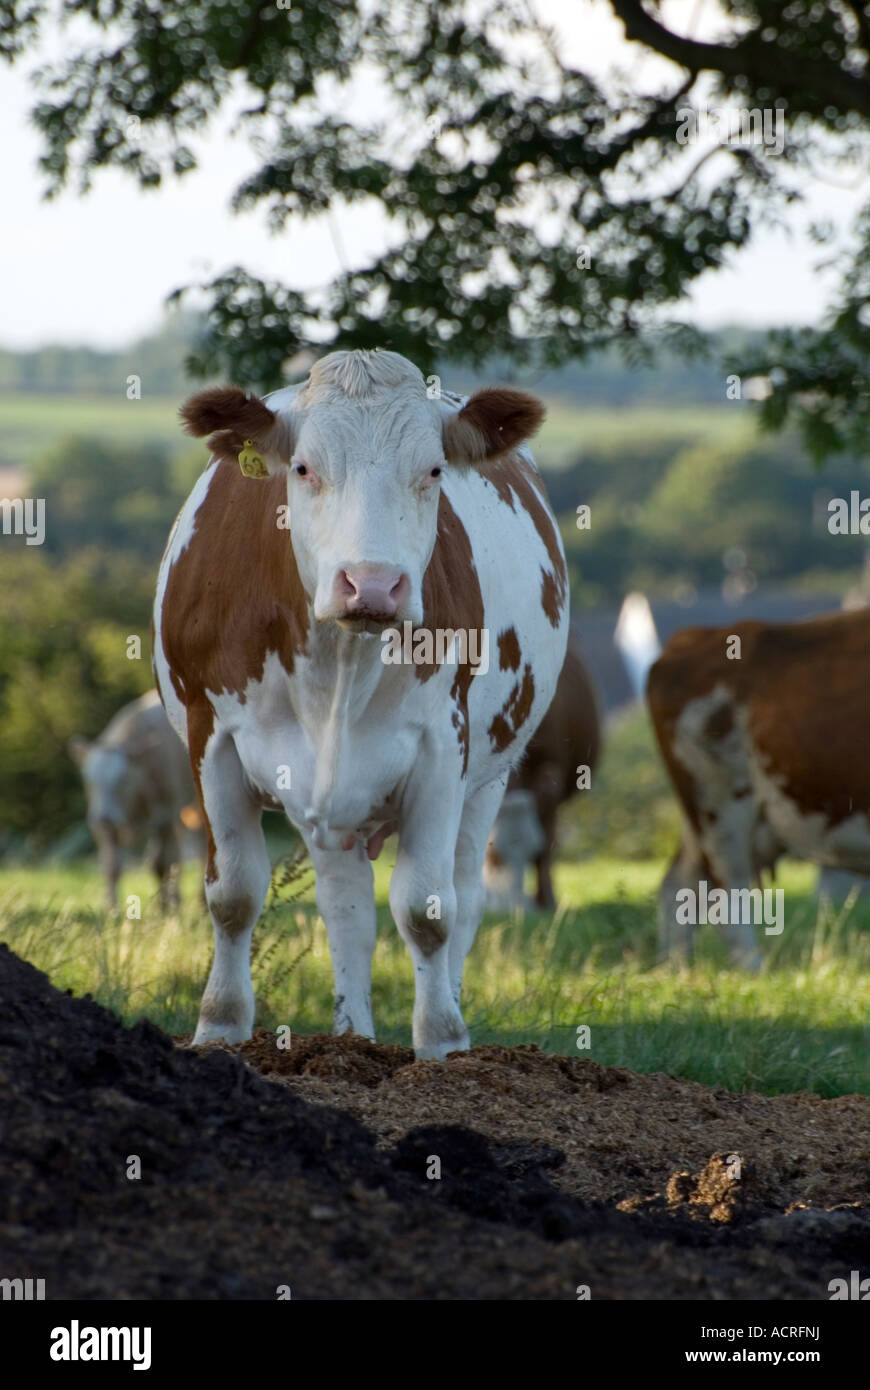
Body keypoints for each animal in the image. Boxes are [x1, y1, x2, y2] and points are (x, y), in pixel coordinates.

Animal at [69, 690, 201, 910]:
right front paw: (111, 907)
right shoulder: (108, 826)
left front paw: (166, 907)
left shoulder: (165, 813)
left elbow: (162, 863)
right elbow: (111, 865)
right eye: (89, 780)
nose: (103, 816)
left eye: (122, 780)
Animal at [153, 349, 569, 1059]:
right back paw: (353, 1037)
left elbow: (427, 909)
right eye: (302, 468)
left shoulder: (443, 749)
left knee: (466, 896)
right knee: (345, 908)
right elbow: (233, 895)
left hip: (491, 778)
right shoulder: (212, 740)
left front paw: (442, 1042)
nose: (372, 585)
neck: (338, 663)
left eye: (433, 470)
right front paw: (219, 1028)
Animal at [484, 635, 601, 911]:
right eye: (493, 855)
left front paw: (547, 900)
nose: (508, 908)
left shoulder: (552, 774)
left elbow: (548, 843)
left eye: (532, 849)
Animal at [646, 609, 870, 969]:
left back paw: (676, 968)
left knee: (678, 885)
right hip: (721, 806)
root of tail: (692, 637)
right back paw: (753, 972)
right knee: (725, 895)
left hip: (710, 817)